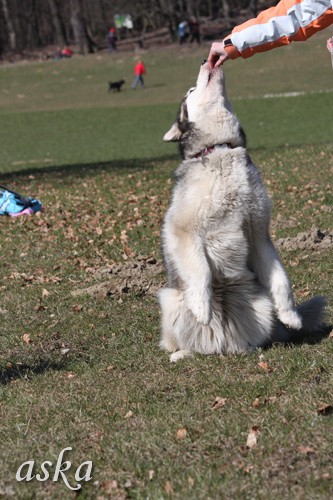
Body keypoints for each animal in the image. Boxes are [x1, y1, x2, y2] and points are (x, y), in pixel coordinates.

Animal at [158, 60, 324, 362]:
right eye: (191, 91)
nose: (205, 60)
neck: (220, 149)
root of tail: (221, 343)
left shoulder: (259, 233)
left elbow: (281, 280)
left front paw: (291, 314)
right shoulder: (181, 230)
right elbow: (200, 271)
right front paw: (202, 306)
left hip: (260, 305)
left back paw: (250, 346)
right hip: (170, 301)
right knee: (185, 342)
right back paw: (183, 352)